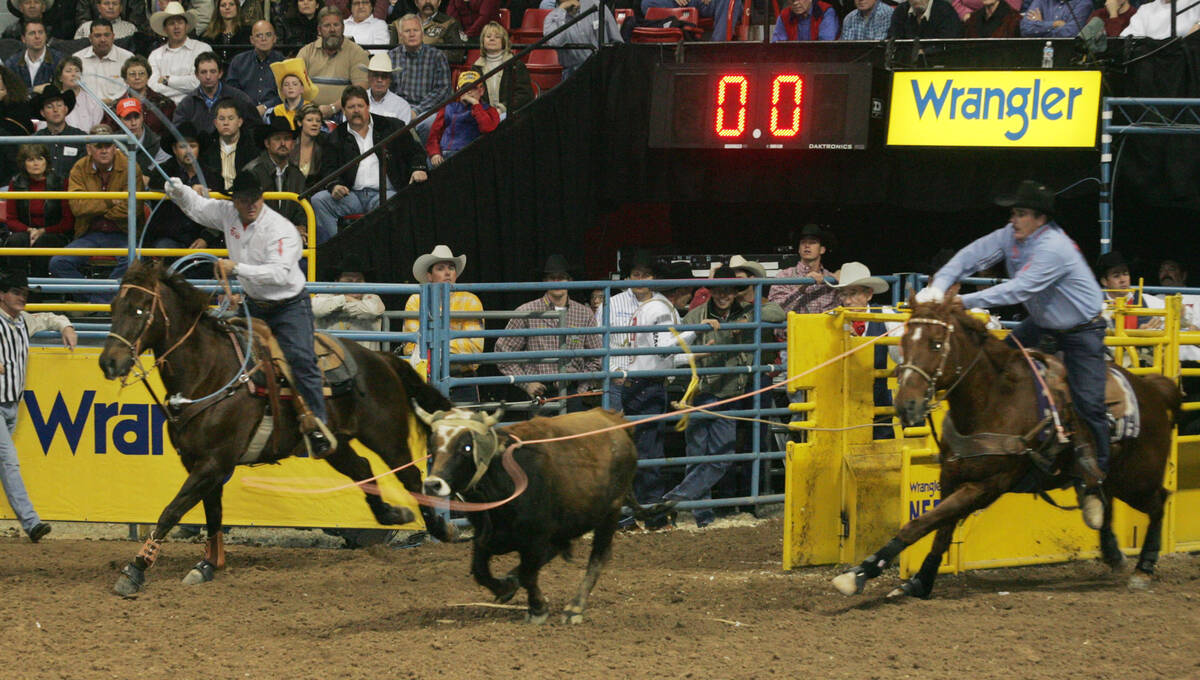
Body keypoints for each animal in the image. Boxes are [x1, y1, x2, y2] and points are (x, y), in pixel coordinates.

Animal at [98, 260, 451, 594]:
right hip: (334, 444)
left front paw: (135, 569)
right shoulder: (199, 462)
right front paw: (208, 564)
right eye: (114, 307)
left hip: (386, 435)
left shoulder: (213, 462)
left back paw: (441, 528)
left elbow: (171, 511)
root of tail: (383, 360)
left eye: (141, 308)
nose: (108, 362)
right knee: (362, 468)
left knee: (410, 476)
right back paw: (391, 515)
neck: (210, 372)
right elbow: (212, 512)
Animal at [835, 301, 1180, 599]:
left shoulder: (987, 485)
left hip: (1137, 478)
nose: (906, 404)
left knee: (1159, 500)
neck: (994, 401)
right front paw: (920, 581)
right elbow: (941, 529)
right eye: (904, 341)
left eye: (936, 344)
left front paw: (860, 573)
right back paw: (1111, 549)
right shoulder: (951, 475)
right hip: (1117, 477)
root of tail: (1152, 389)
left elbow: (920, 524)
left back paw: (1144, 567)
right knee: (1106, 495)